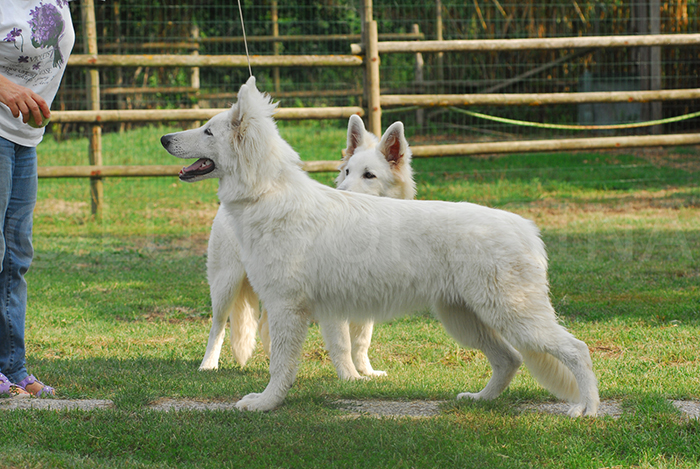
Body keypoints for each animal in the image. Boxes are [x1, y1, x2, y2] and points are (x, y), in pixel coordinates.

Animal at [160, 77, 600, 416]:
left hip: (512, 316)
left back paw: (588, 409)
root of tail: (526, 227)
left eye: (207, 131)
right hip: (466, 319)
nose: (163, 138)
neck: (266, 195)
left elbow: (281, 366)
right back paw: (480, 399)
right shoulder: (303, 310)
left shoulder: (289, 309)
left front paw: (266, 403)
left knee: (576, 349)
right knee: (510, 359)